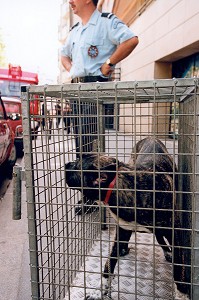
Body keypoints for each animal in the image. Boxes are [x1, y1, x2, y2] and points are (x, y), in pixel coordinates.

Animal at [65, 137, 188, 298]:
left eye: (76, 165)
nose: (66, 164)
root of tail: (151, 138)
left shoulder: (175, 232)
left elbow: (179, 270)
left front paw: (182, 294)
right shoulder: (123, 229)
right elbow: (109, 262)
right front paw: (100, 290)